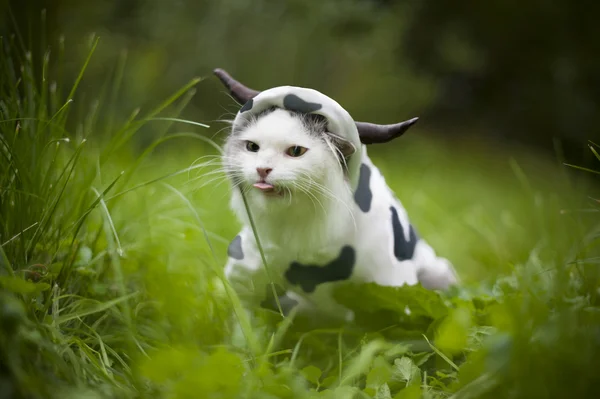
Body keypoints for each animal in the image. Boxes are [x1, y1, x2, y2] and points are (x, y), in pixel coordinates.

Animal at [213, 68, 458, 318]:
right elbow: (246, 320)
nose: (262, 169)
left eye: (296, 151)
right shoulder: (245, 276)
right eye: (252, 147)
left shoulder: (393, 285)